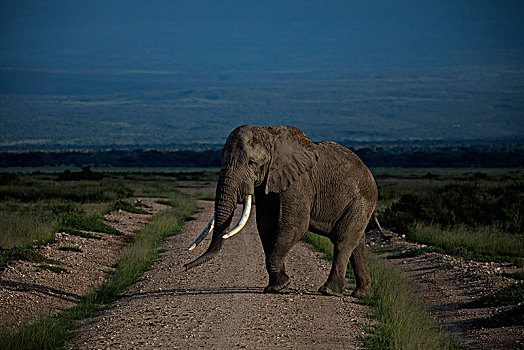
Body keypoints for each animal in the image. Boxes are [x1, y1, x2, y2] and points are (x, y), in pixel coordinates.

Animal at [186, 124, 378, 296]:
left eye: (252, 163)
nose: (185, 266)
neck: (270, 136)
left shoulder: (299, 181)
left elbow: (295, 225)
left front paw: (279, 287)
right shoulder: (266, 183)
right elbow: (266, 226)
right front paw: (277, 287)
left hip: (362, 201)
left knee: (343, 241)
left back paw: (329, 291)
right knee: (357, 244)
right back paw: (362, 294)